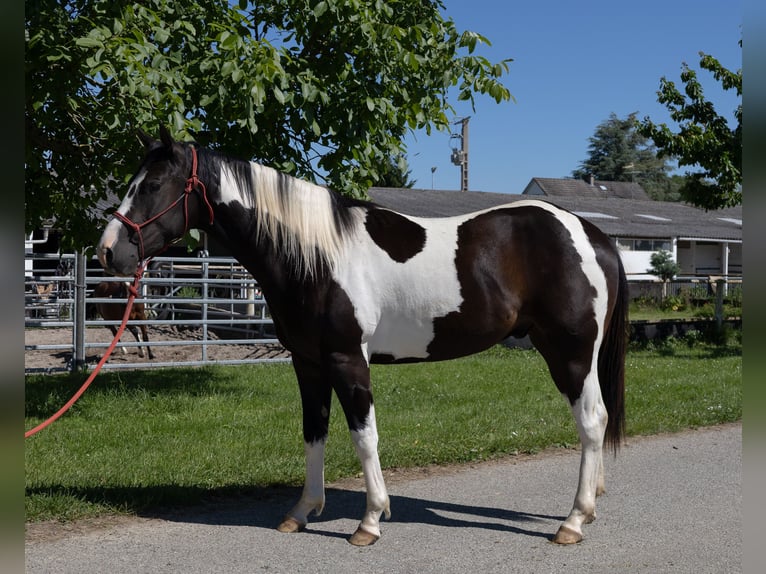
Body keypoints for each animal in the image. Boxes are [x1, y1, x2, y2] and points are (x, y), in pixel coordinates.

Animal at [96, 127, 628, 546]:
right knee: (597, 421)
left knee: (592, 421)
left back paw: (573, 521)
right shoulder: (308, 363)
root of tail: (592, 234)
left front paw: (369, 521)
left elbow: (364, 437)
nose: (108, 252)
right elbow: (314, 432)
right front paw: (301, 512)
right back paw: (590, 507)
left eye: (153, 185)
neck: (315, 255)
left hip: (570, 353)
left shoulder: (347, 360)